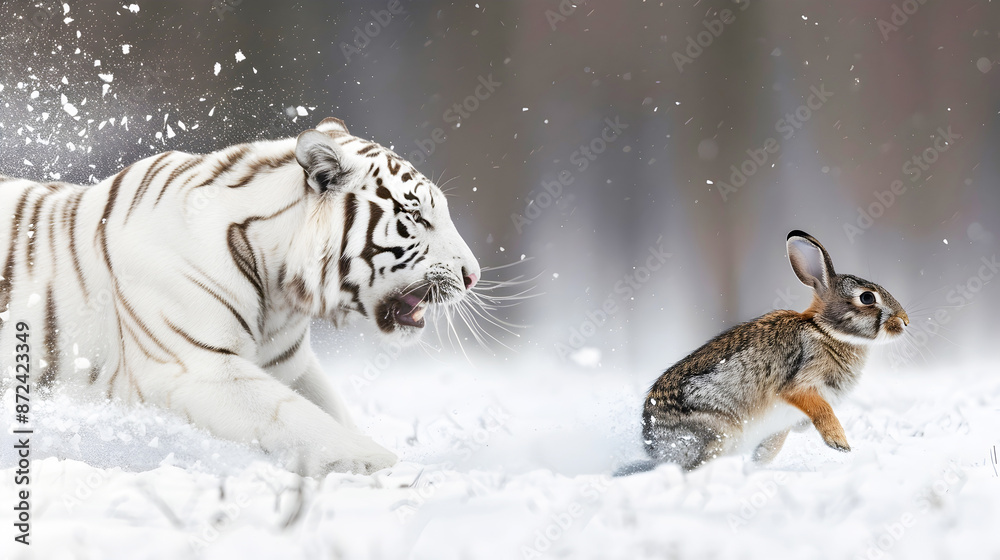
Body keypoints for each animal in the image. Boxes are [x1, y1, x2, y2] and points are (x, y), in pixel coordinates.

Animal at [0, 117, 480, 476]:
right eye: (416, 217)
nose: (472, 275)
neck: (280, 290)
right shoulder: (197, 367)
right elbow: (300, 419)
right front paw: (386, 468)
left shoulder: (289, 365)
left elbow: (330, 410)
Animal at [626, 230, 908, 474]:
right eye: (867, 298)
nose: (904, 321)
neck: (825, 330)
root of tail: (654, 445)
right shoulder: (799, 384)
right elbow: (820, 408)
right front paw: (839, 443)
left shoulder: (782, 424)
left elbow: (773, 445)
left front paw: (759, 463)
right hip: (716, 432)